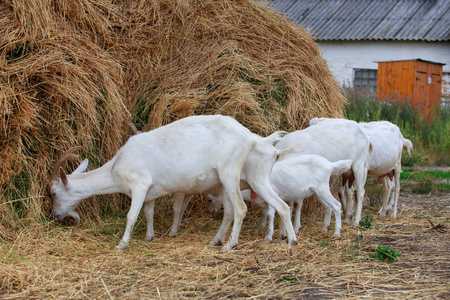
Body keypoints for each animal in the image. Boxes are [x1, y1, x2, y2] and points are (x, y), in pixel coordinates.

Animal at [51, 115, 298, 251]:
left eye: (53, 192)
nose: (57, 216)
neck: (115, 167)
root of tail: (253, 139)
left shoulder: (138, 183)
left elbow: (132, 215)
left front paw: (122, 244)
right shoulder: (149, 192)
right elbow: (148, 213)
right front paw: (149, 236)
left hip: (233, 175)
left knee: (241, 208)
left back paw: (231, 245)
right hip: (250, 179)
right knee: (270, 207)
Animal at [206, 156, 354, 240]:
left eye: (209, 199)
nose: (211, 212)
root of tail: (330, 165)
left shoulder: (274, 193)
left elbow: (271, 214)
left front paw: (269, 236)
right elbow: (268, 213)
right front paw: (276, 232)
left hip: (322, 189)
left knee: (337, 205)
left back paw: (336, 233)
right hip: (319, 191)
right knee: (328, 206)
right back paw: (324, 228)